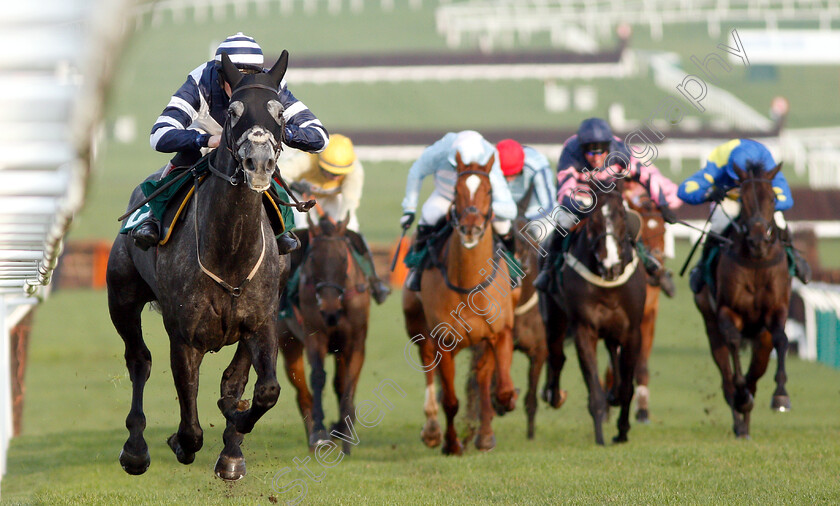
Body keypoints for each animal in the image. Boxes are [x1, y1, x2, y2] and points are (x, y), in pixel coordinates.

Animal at [106, 52, 290, 482]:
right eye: (234, 112)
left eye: (280, 112)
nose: (259, 162)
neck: (230, 253)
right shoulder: (184, 337)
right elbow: (190, 428)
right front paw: (178, 441)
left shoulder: (261, 322)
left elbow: (260, 389)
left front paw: (234, 435)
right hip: (121, 297)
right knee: (138, 360)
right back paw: (135, 450)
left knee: (234, 380)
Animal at [278, 212, 370, 450]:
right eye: (312, 259)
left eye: (343, 258)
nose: (329, 310)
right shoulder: (315, 335)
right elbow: (318, 376)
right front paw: (320, 431)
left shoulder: (355, 340)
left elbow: (349, 380)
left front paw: (345, 430)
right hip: (288, 343)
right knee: (302, 392)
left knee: (339, 382)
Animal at [402, 151, 520, 454]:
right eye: (456, 190)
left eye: (489, 190)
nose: (470, 228)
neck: (469, 284)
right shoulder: (443, 340)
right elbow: (450, 401)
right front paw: (452, 444)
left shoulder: (500, 332)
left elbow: (500, 388)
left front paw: (502, 404)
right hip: (419, 328)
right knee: (429, 367)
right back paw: (433, 429)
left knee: (482, 375)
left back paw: (485, 434)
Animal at [540, 181, 648, 442]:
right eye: (592, 219)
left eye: (622, 215)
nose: (611, 265)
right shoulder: (584, 328)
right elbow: (594, 389)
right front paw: (600, 437)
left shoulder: (632, 331)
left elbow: (626, 386)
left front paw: (622, 430)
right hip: (554, 317)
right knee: (557, 355)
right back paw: (553, 394)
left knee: (612, 353)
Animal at [692, 162, 792, 438]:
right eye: (743, 200)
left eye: (773, 198)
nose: (758, 241)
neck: (756, 263)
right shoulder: (727, 311)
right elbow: (734, 343)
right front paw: (741, 398)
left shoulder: (776, 311)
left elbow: (782, 339)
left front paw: (781, 395)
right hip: (710, 324)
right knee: (727, 374)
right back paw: (739, 416)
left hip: (761, 337)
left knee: (756, 372)